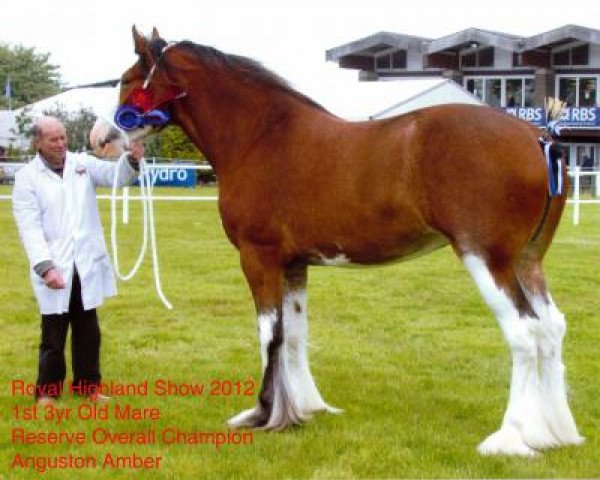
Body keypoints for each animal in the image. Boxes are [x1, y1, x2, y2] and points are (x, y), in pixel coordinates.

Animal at [105, 28, 584, 456]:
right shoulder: (294, 264)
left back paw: (509, 439)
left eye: (128, 80)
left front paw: (264, 415)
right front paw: (306, 409)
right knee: (551, 329)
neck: (260, 136)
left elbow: (269, 334)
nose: (100, 138)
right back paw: (552, 432)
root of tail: (539, 137)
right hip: (528, 262)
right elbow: (295, 335)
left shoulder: (258, 259)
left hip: (486, 259)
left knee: (524, 334)